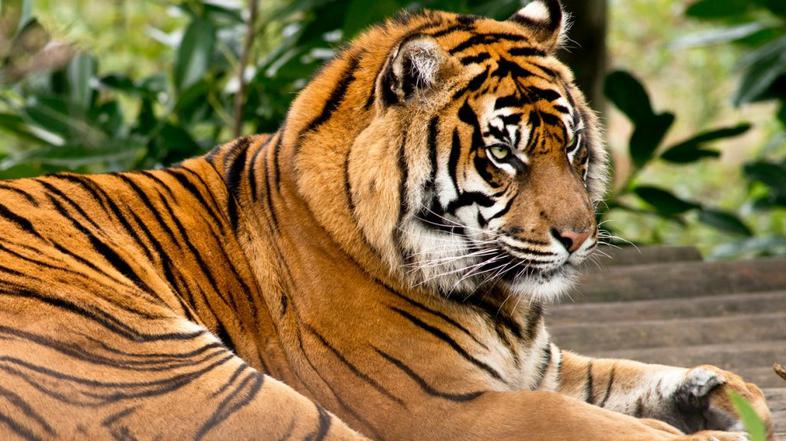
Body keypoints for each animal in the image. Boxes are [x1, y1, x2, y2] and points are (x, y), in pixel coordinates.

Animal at [0, 1, 774, 440]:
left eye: (573, 144)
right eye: (504, 153)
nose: (577, 237)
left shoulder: (536, 365)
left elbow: (616, 375)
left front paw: (722, 392)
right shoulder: (450, 404)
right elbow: (604, 425)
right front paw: (715, 430)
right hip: (189, 374)